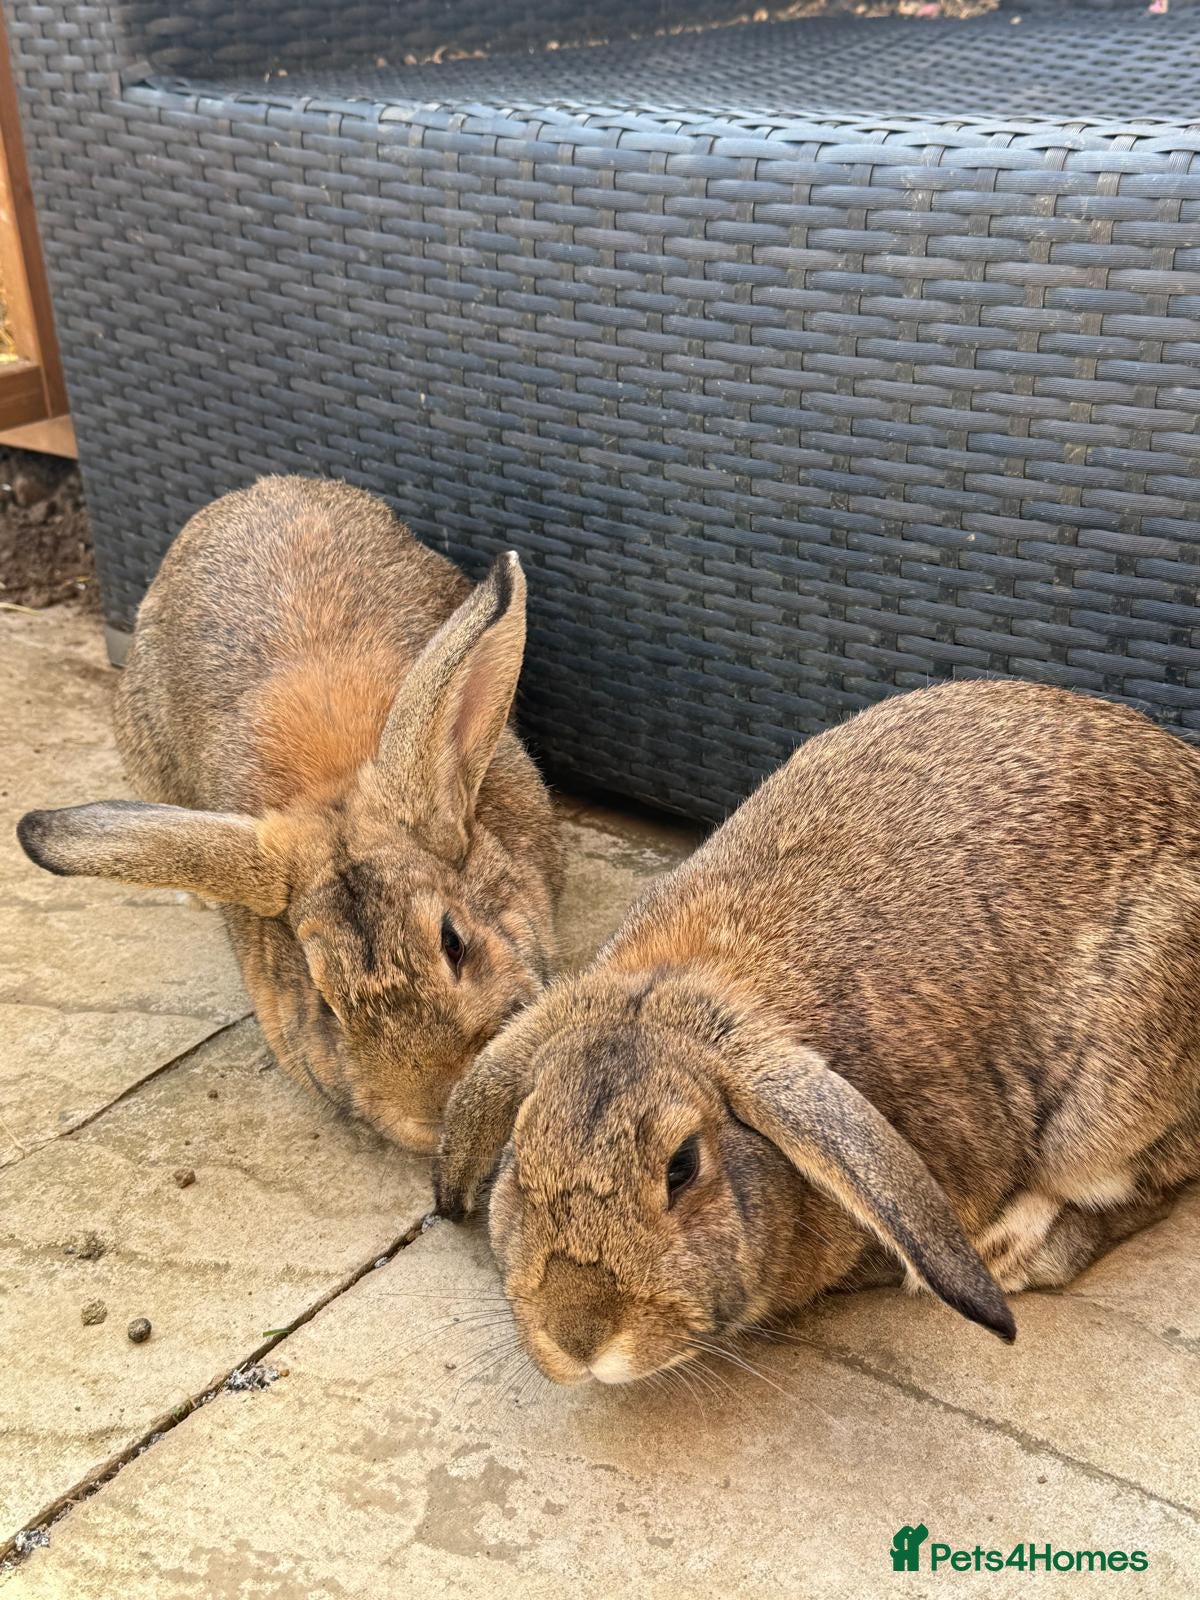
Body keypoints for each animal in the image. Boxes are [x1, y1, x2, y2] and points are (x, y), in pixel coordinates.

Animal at [433, 678, 1200, 1385]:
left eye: (683, 1166)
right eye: (520, 1154)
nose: (578, 1338)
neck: (686, 982)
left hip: (1105, 1104)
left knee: (1138, 1189)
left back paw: (1005, 1251)